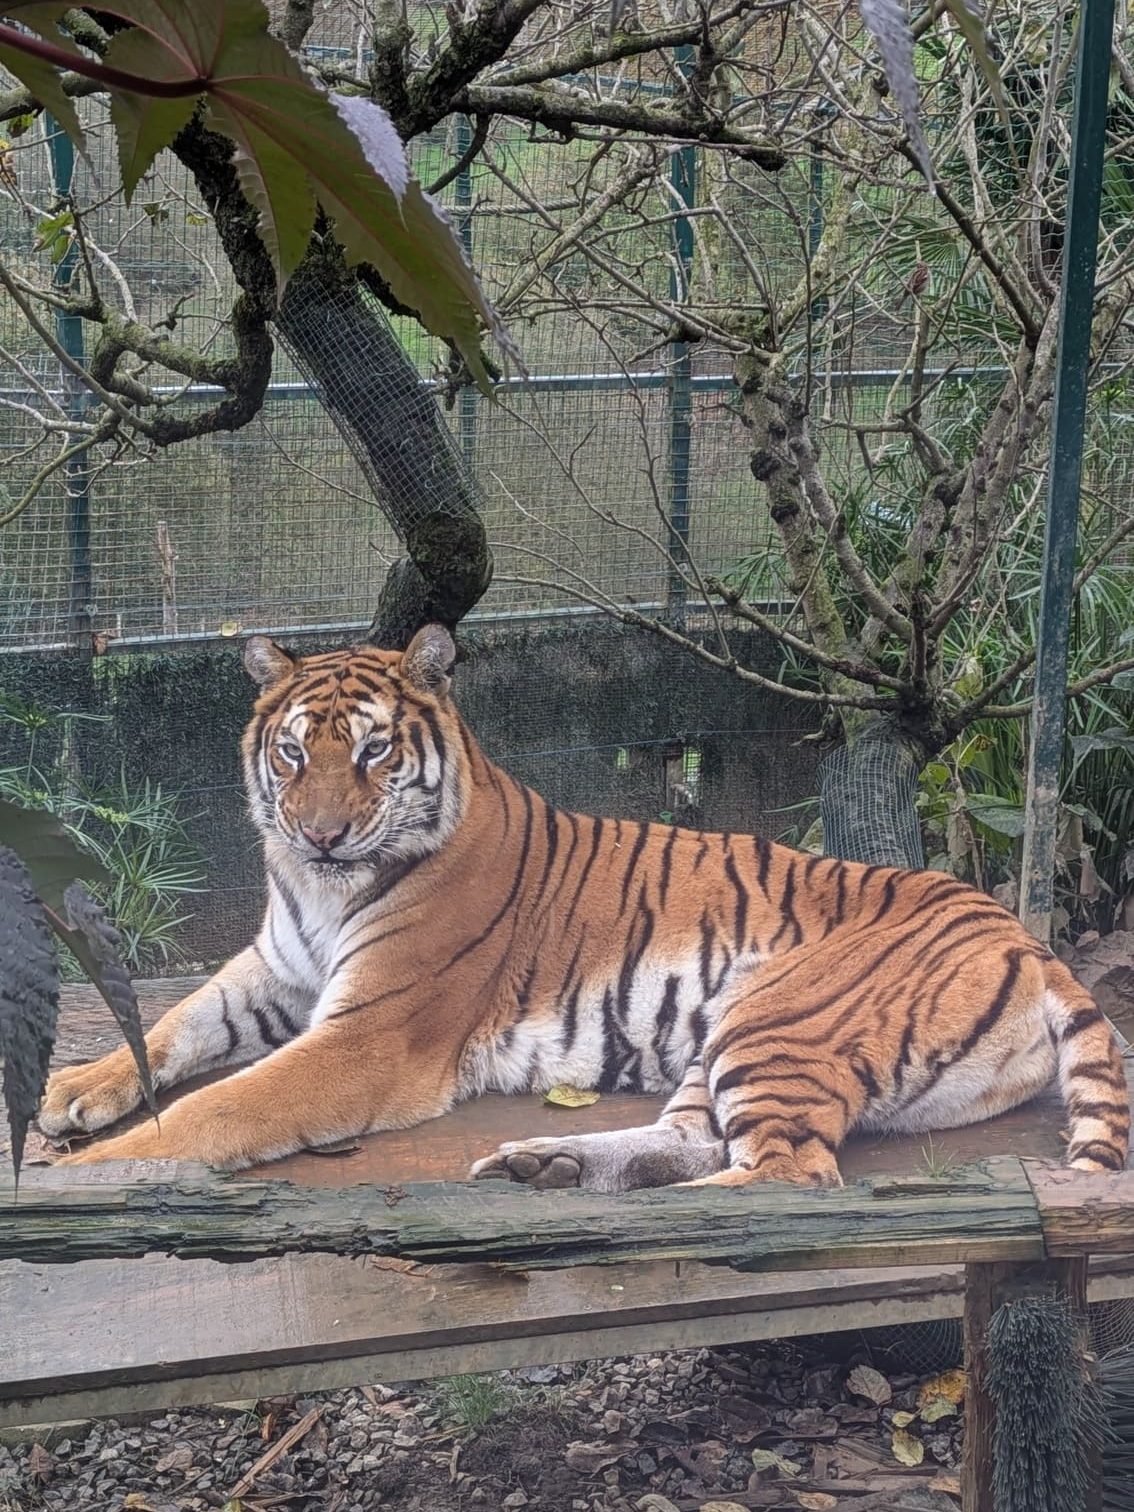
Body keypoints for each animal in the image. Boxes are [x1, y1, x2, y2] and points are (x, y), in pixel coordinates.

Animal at [39, 625, 1130, 1188]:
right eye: (294, 753)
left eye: (376, 752)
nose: (320, 837)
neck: (317, 891)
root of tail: (1023, 936)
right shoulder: (276, 969)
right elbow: (174, 1026)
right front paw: (72, 1092)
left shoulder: (368, 1036)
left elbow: (220, 1105)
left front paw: (87, 1177)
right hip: (727, 1039)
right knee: (697, 1142)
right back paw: (549, 1165)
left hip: (776, 1015)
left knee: (786, 1176)